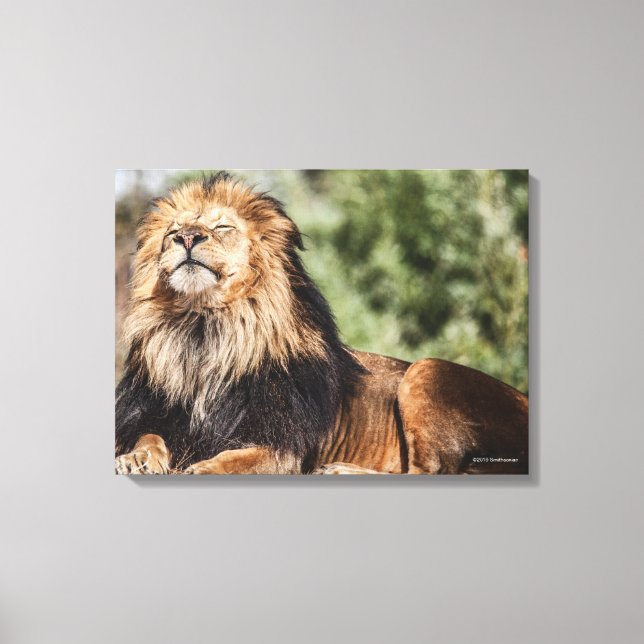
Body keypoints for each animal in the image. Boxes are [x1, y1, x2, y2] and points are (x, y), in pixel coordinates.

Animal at [115, 172, 528, 475]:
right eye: (173, 232)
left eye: (222, 228)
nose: (186, 237)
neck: (205, 332)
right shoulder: (154, 414)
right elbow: (148, 434)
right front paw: (137, 458)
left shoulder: (283, 448)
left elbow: (243, 458)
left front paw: (203, 469)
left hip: (427, 368)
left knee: (429, 471)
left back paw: (342, 470)